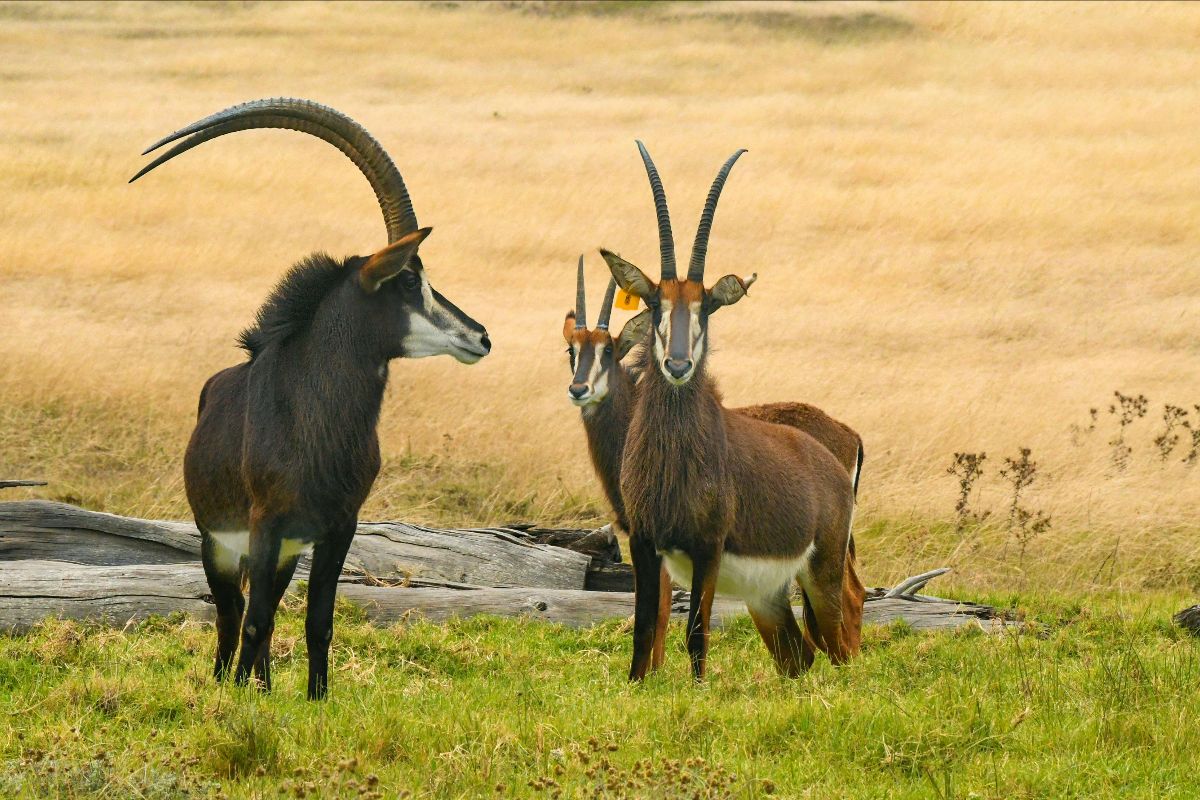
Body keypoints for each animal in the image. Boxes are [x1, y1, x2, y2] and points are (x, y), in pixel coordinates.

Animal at [131, 98, 491, 699]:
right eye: (407, 280)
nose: (481, 336)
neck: (315, 417)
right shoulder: (265, 525)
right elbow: (254, 621)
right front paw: (238, 701)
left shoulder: (337, 528)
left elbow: (317, 621)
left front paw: (314, 700)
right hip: (220, 545)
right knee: (232, 617)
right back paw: (227, 682)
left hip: (283, 554)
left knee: (264, 613)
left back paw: (263, 686)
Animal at [564, 258, 866, 673]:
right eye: (571, 351)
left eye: (608, 351)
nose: (579, 390)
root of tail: (849, 433)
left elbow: (661, 613)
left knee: (851, 595)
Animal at [601, 142, 865, 681]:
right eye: (655, 303)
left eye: (706, 307)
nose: (678, 364)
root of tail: (834, 457)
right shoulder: (644, 544)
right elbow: (644, 630)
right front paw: (637, 686)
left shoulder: (709, 546)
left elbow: (695, 632)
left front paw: (699, 690)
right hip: (768, 597)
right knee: (799, 655)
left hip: (823, 573)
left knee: (843, 630)